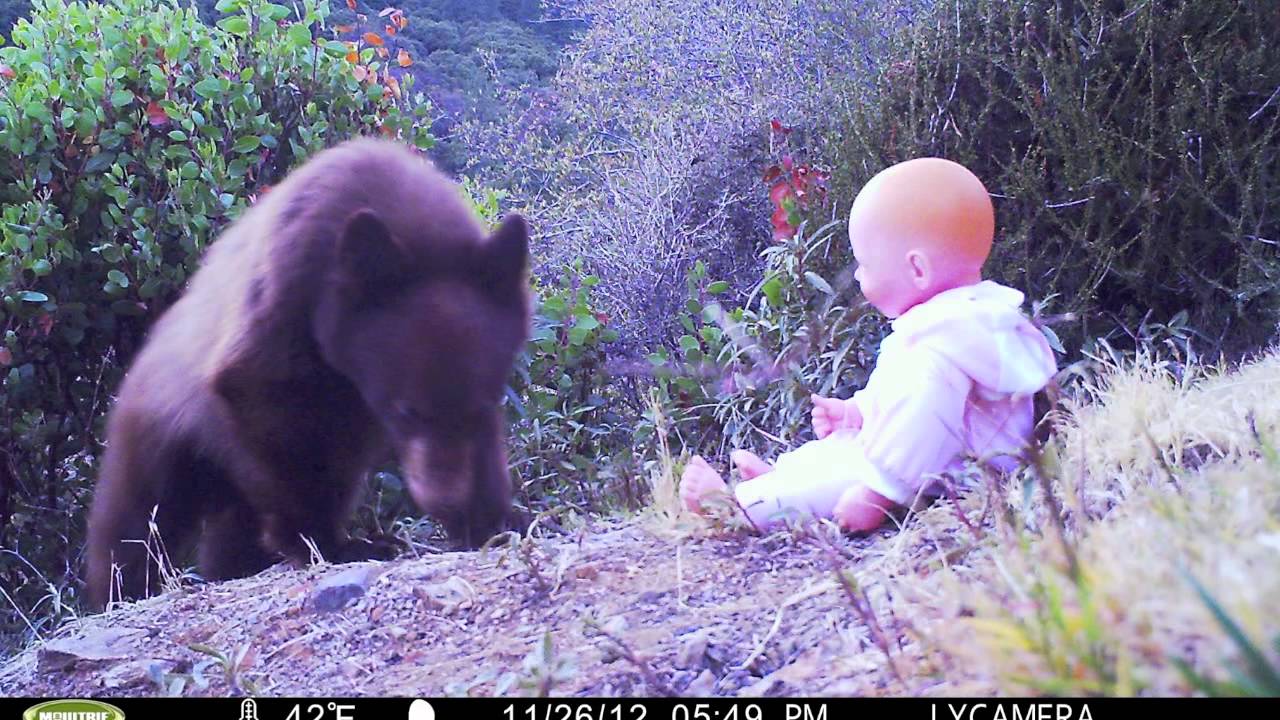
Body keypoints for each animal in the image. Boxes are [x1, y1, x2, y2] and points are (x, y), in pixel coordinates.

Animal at [85, 138, 530, 608]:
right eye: (405, 411)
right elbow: (269, 406)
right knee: (138, 519)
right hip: (163, 433)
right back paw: (121, 588)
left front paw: (495, 519)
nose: (449, 503)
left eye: (483, 406)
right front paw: (330, 542)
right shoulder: (287, 291)